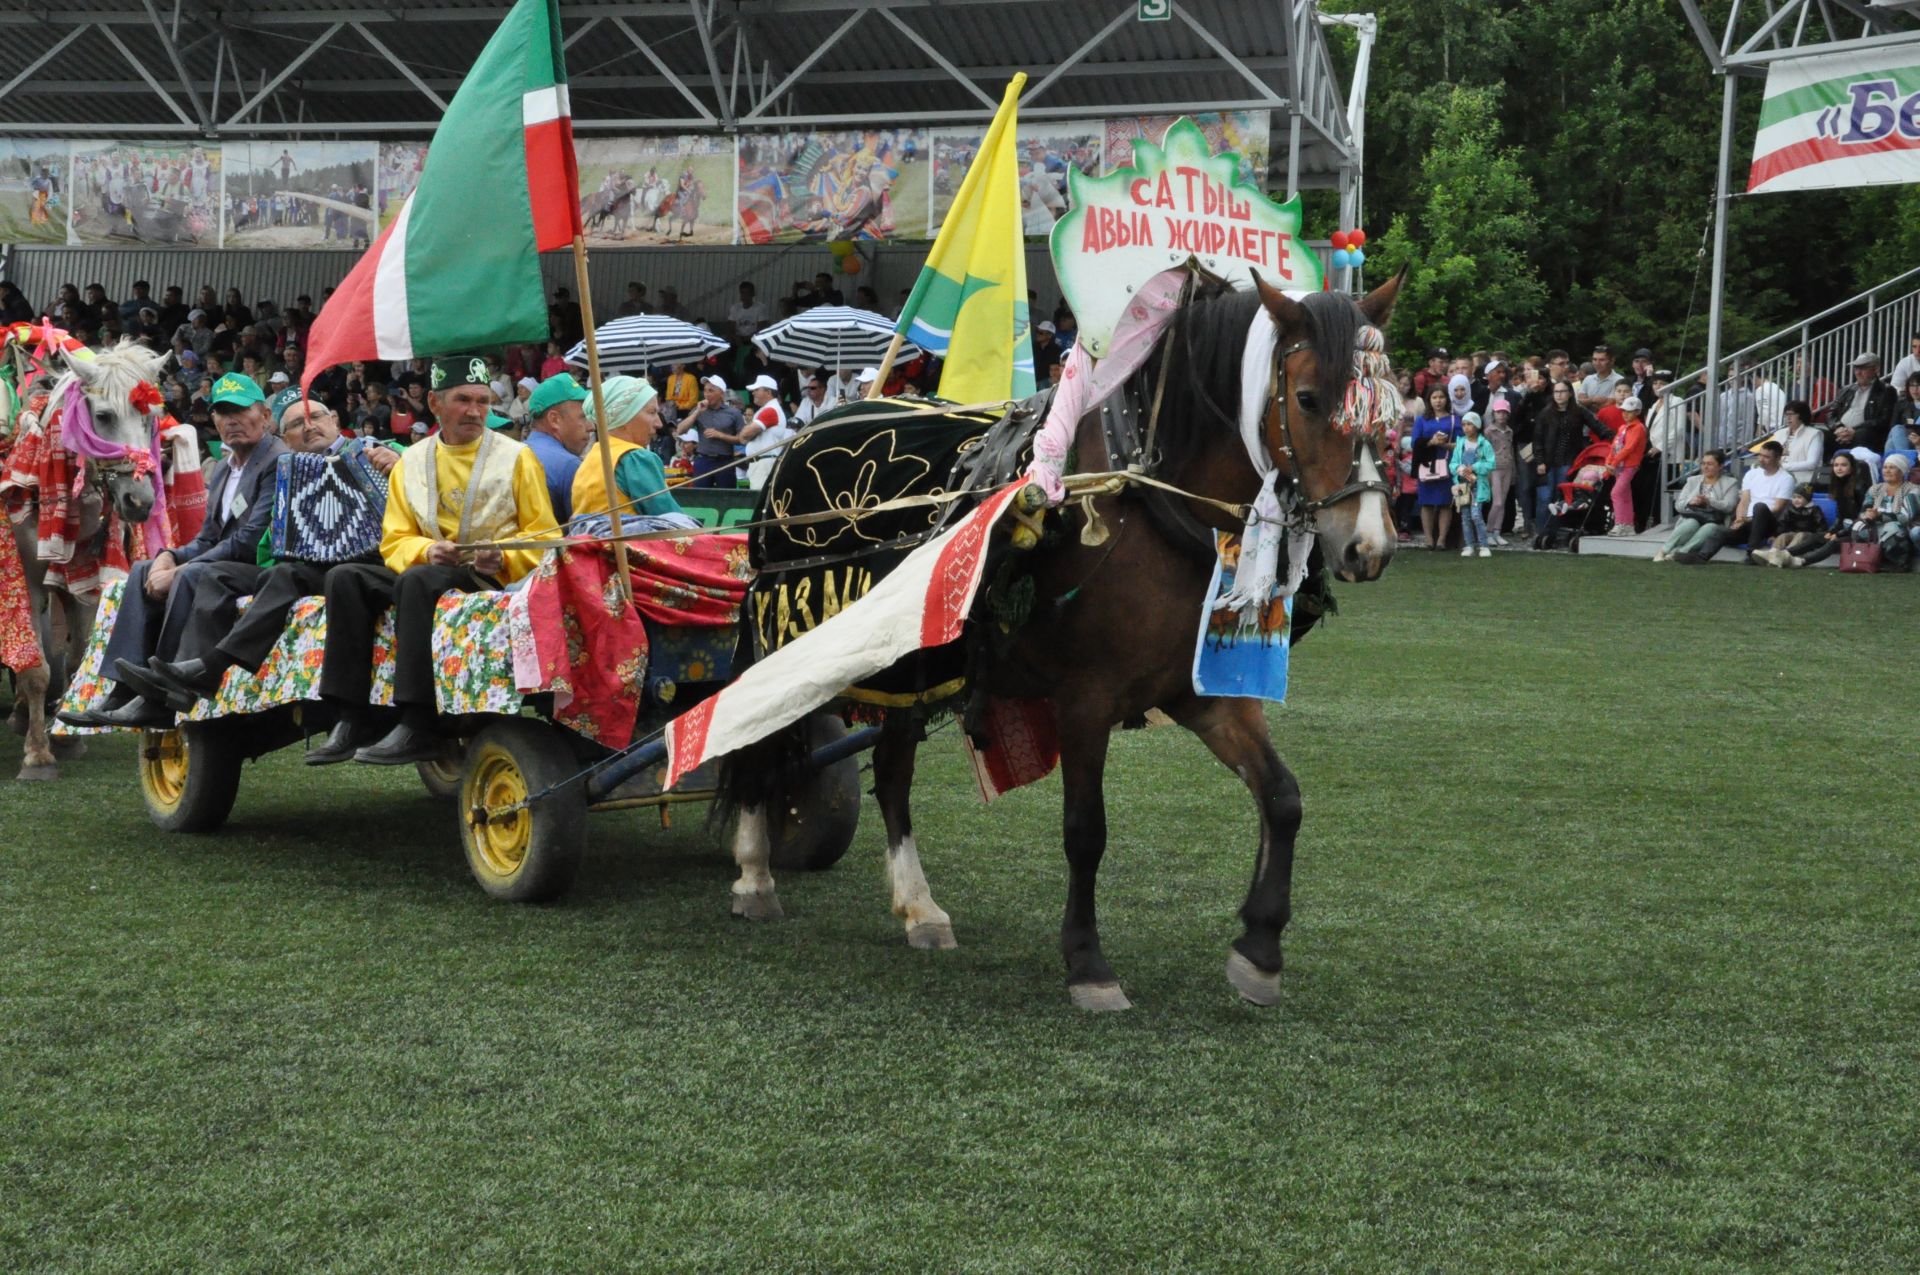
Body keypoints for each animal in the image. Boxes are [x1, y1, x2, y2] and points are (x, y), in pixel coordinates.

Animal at [4, 337, 170, 775]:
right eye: (104, 415)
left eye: (151, 419)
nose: (140, 501)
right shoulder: (28, 584)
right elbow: (37, 668)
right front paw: (38, 754)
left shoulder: (86, 581)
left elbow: (75, 656)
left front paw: (62, 734)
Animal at [721, 274, 1413, 1013]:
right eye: (1307, 398)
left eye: (1392, 404)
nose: (1368, 545)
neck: (1148, 504)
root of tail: (805, 437)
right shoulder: (1085, 698)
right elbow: (1086, 830)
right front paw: (1087, 962)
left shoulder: (1203, 695)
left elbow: (1283, 798)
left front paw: (1259, 948)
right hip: (790, 641)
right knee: (756, 736)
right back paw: (755, 874)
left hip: (908, 664)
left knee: (892, 770)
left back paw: (919, 907)